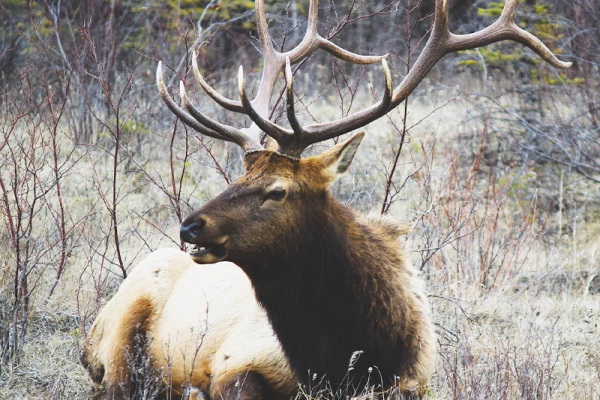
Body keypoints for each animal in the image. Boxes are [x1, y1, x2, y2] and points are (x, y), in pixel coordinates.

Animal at [82, 0, 568, 396]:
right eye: (238, 176)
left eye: (276, 191)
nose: (190, 225)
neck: (351, 354)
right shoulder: (232, 365)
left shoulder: (414, 380)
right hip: (119, 339)